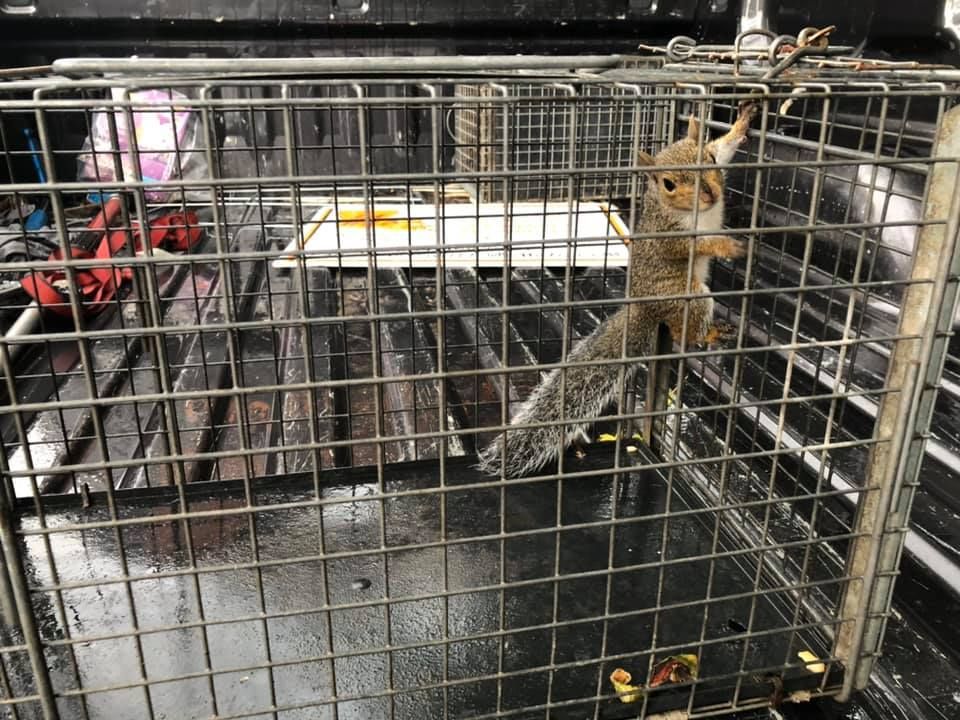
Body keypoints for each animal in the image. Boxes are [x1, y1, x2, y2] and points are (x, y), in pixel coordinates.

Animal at [476, 100, 758, 478]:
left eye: (708, 159)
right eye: (669, 184)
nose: (711, 194)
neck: (693, 212)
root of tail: (644, 307)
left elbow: (726, 146)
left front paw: (741, 123)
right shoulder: (669, 235)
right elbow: (691, 245)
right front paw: (725, 245)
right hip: (688, 298)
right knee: (683, 333)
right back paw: (708, 334)